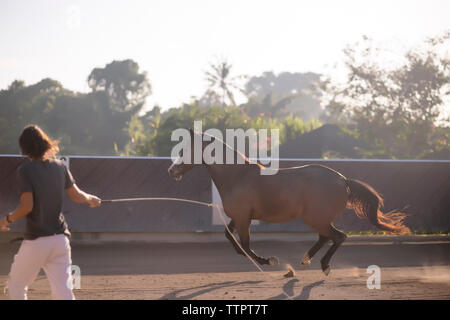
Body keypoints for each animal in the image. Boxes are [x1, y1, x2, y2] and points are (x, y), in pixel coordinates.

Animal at [167, 130, 410, 276]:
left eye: (184, 150)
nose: (171, 171)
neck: (238, 176)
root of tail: (342, 180)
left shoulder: (244, 219)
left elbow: (246, 245)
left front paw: (268, 261)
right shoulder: (239, 217)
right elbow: (230, 237)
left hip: (315, 219)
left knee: (338, 237)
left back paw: (324, 266)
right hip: (318, 219)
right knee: (326, 237)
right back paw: (305, 261)